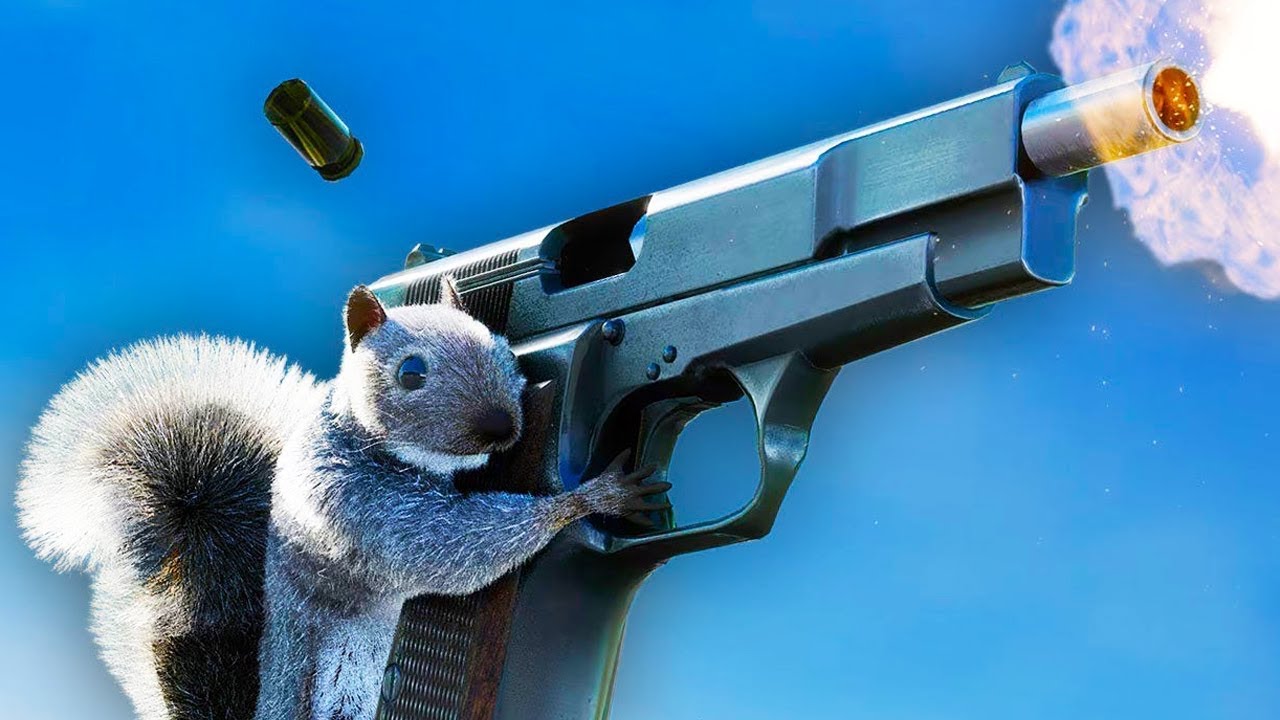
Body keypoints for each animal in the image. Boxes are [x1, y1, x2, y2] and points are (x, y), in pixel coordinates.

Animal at [16, 277, 669, 720]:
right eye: (410, 372)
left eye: (502, 348)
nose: (500, 427)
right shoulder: (351, 499)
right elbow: (447, 547)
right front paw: (591, 498)